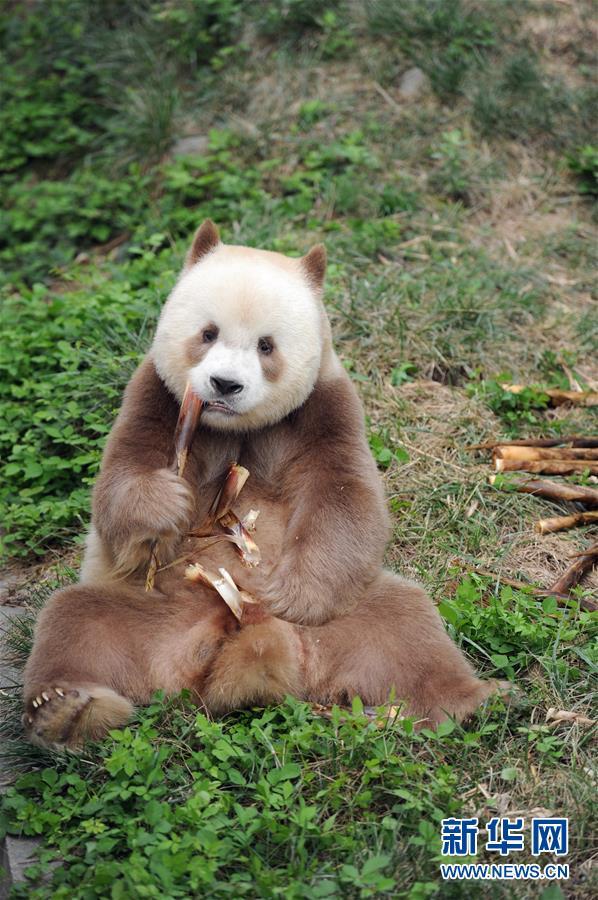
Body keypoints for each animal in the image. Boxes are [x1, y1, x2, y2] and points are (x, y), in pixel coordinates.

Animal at [23, 220, 500, 749]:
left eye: (265, 345)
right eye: (208, 333)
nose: (224, 385)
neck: (236, 427)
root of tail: (251, 649)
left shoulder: (323, 408)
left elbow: (345, 498)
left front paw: (293, 593)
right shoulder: (158, 396)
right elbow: (120, 480)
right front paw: (164, 506)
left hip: (343, 621)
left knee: (406, 624)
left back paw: (464, 702)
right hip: (149, 615)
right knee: (75, 622)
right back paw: (65, 708)